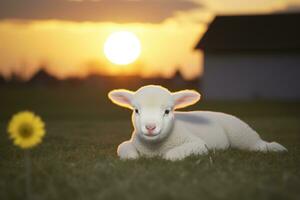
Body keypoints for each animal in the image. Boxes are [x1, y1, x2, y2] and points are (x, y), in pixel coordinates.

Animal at [107, 84, 286, 161]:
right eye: (136, 110)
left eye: (167, 111)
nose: (150, 127)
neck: (154, 148)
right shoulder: (129, 144)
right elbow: (125, 150)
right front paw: (133, 157)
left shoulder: (198, 144)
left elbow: (170, 155)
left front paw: (166, 156)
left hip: (240, 132)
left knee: (257, 144)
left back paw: (276, 148)